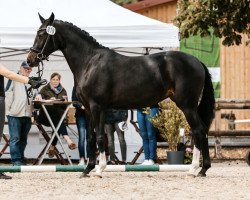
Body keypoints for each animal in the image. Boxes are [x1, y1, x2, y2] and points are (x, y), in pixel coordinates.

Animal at [27, 13, 215, 177]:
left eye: (42, 34)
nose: (30, 59)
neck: (90, 62)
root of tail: (197, 61)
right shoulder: (88, 109)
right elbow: (90, 138)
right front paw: (87, 169)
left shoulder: (97, 107)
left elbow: (100, 137)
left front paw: (99, 170)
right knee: (201, 131)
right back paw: (200, 169)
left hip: (187, 105)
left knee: (199, 130)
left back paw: (197, 169)